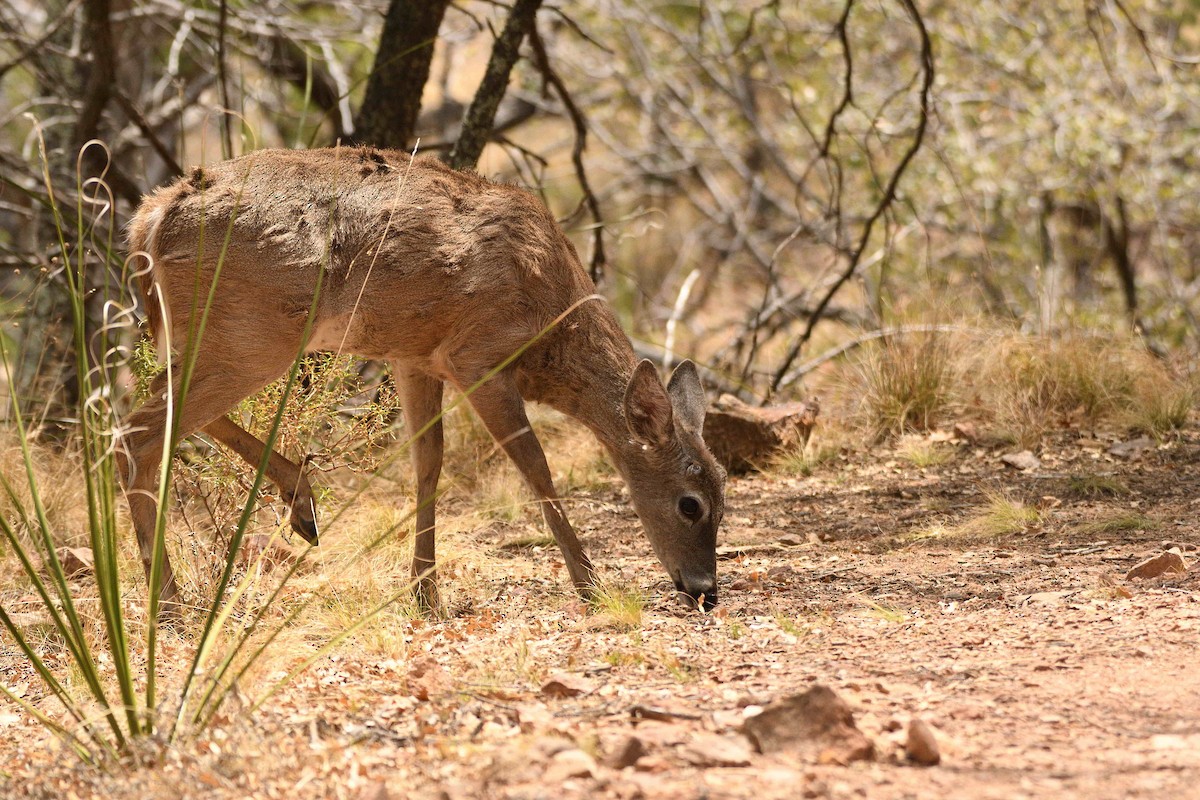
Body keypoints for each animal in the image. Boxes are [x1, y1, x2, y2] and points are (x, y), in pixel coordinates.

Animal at [120, 146, 727, 618]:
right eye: (690, 504)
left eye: (725, 499)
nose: (705, 591)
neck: (553, 317)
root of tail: (150, 218)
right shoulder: (477, 357)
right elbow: (535, 466)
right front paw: (590, 586)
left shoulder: (415, 359)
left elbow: (428, 463)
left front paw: (425, 592)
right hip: (253, 335)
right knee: (138, 433)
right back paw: (168, 603)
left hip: (219, 338)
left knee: (158, 418)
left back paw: (301, 506)